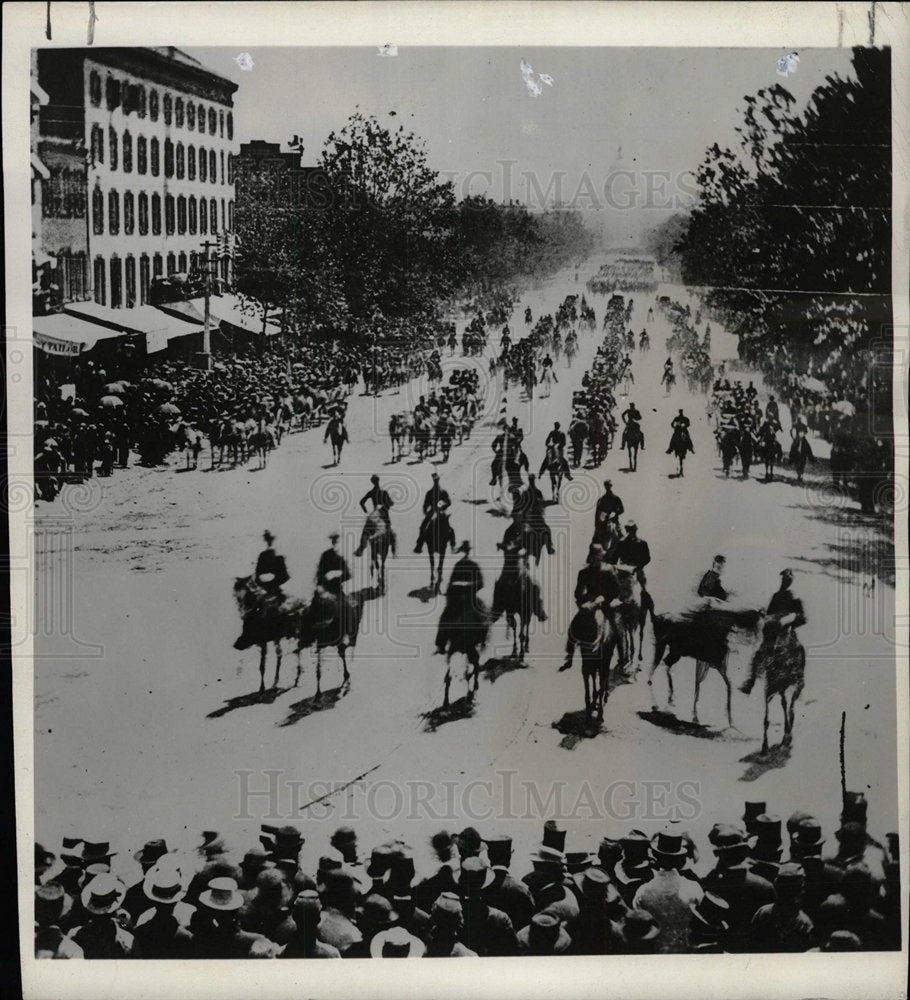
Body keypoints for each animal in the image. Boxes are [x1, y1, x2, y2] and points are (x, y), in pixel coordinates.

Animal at [644, 604, 764, 732]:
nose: (759, 645)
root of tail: (657, 617)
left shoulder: (716, 665)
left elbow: (725, 685)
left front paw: (730, 722)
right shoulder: (706, 662)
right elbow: (699, 685)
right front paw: (696, 717)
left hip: (675, 652)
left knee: (664, 665)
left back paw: (669, 696)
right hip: (664, 647)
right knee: (655, 667)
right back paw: (656, 696)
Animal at [752, 616, 808, 752]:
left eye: (775, 634)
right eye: (763, 632)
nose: (759, 654)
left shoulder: (799, 684)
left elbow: (791, 709)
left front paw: (788, 737)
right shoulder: (769, 689)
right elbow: (766, 718)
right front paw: (764, 747)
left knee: (788, 705)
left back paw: (787, 736)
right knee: (784, 703)